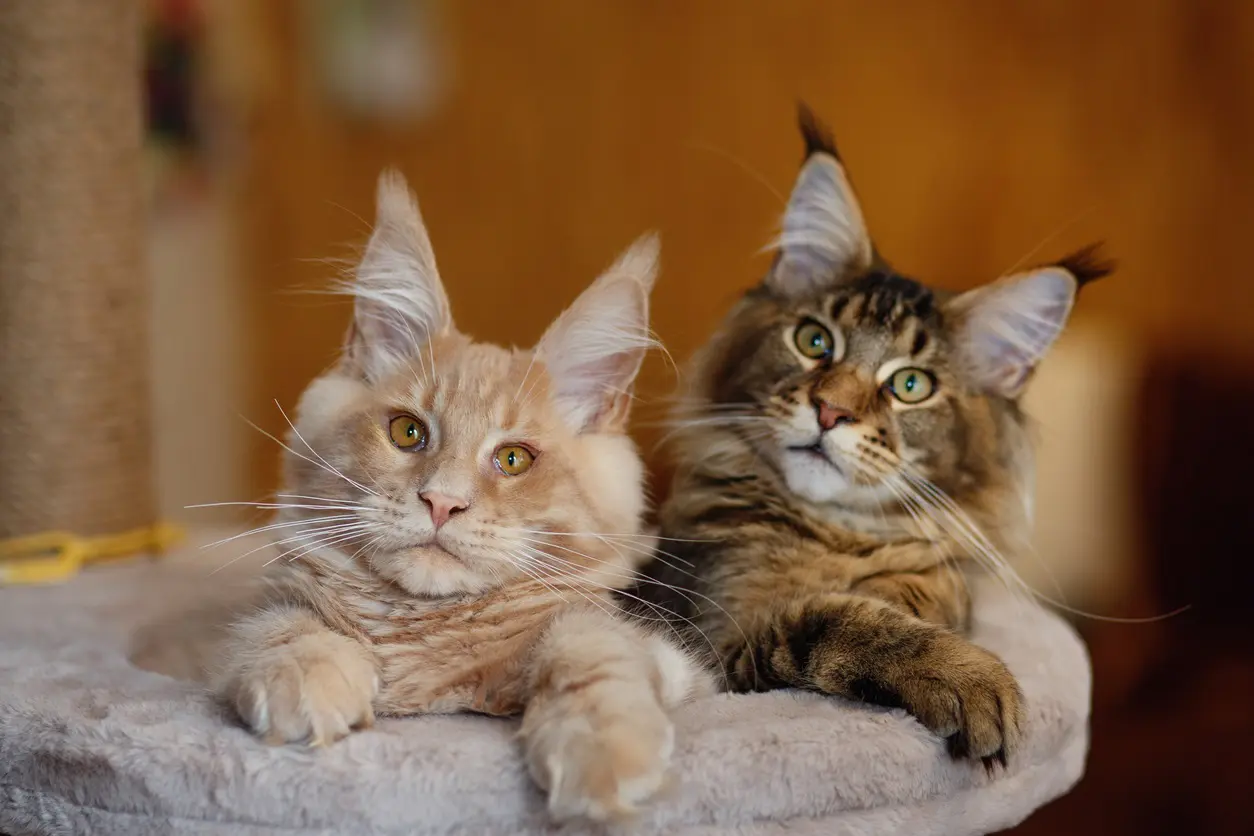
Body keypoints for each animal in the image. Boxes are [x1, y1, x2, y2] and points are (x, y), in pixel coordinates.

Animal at [211, 171, 712, 822]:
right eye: (407, 432)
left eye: (513, 460)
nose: (442, 503)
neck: (426, 640)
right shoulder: (247, 623)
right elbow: (281, 625)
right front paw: (306, 675)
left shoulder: (666, 658)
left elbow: (589, 645)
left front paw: (604, 749)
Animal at [637, 107, 1108, 767]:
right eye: (814, 341)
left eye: (910, 385)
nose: (830, 410)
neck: (843, 534)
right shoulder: (717, 635)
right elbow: (838, 619)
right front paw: (973, 676)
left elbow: (921, 592)